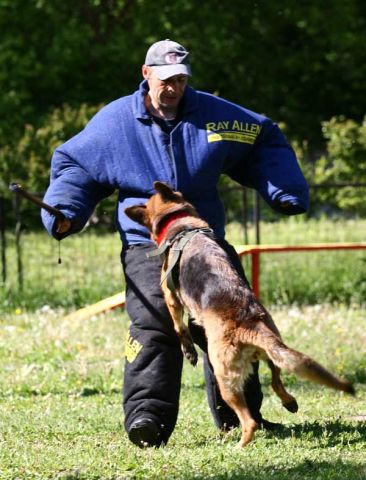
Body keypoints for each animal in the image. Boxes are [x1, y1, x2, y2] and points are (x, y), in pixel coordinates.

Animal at [125, 181, 354, 446]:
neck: (180, 224)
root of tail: (249, 324)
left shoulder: (171, 298)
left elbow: (178, 327)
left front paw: (188, 351)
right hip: (271, 353)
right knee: (276, 382)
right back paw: (289, 403)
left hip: (225, 379)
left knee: (249, 419)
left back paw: (240, 444)